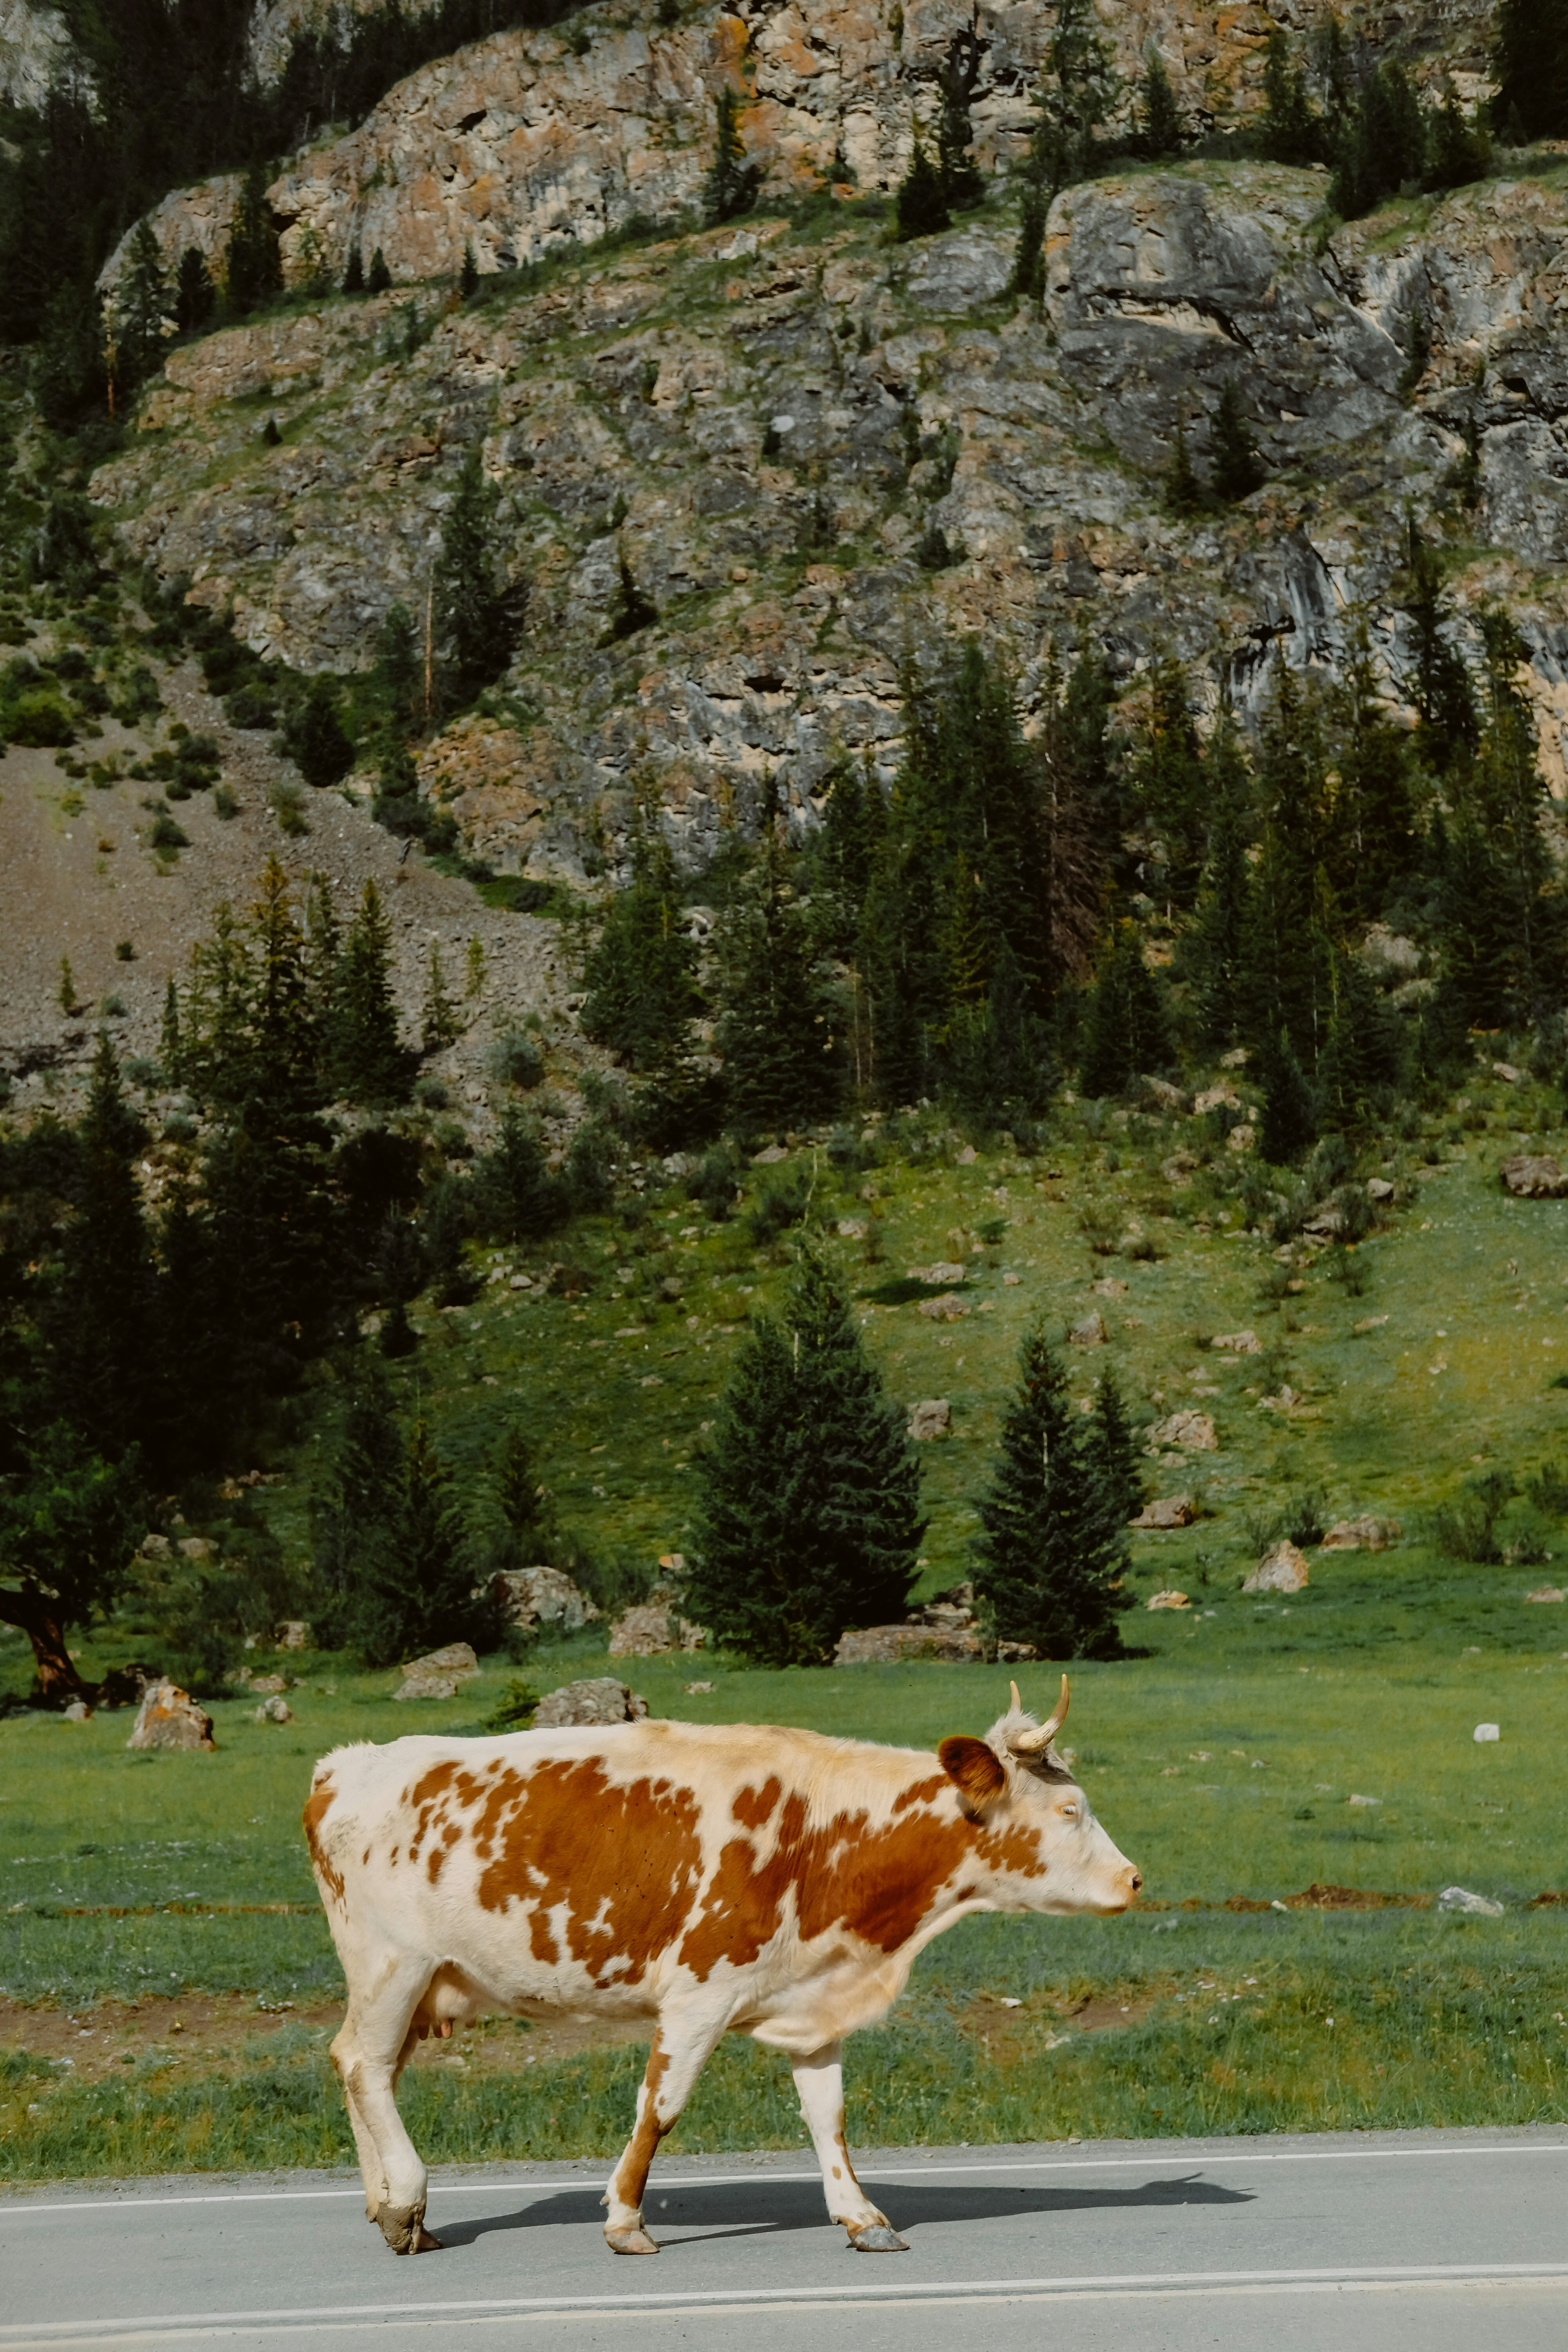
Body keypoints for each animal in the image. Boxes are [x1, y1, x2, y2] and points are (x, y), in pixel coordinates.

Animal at [303, 1675, 1139, 2260]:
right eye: (1070, 1811)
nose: (1134, 1879)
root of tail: (348, 1764)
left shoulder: (814, 2002)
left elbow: (829, 2117)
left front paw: (862, 2217)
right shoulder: (699, 1994)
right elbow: (660, 2108)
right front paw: (626, 2220)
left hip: (420, 1982)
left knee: (363, 2067)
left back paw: (389, 2207)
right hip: (393, 1965)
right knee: (365, 2065)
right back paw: (406, 2202)